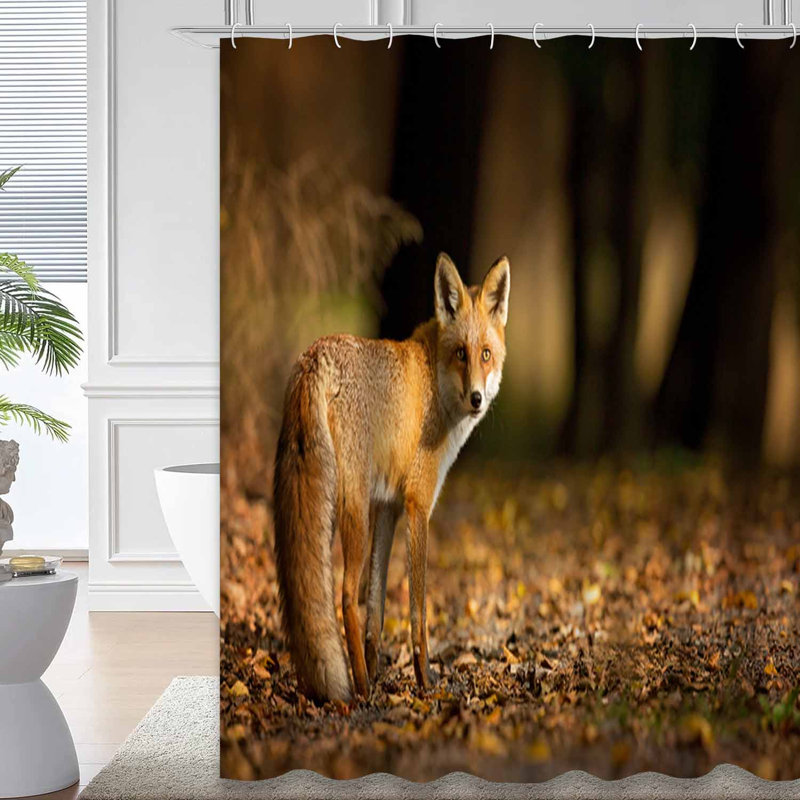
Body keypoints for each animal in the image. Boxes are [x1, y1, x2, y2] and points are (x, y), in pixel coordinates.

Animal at [273, 252, 510, 703]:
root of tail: (314, 356)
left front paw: (379, 669)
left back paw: (364, 681)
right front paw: (423, 681)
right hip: (352, 510)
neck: (434, 384)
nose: (476, 399)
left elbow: (378, 609)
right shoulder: (418, 504)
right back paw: (360, 690)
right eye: (461, 353)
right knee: (345, 596)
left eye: (486, 354)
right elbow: (417, 611)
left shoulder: (388, 508)